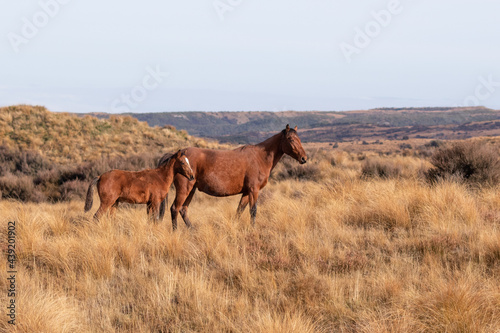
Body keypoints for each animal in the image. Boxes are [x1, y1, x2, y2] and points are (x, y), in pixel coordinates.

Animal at [160, 123, 306, 230]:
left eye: (299, 139)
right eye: (291, 139)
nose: (304, 158)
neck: (260, 157)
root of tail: (175, 156)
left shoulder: (246, 192)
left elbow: (239, 211)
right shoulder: (254, 190)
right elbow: (253, 211)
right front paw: (253, 230)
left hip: (191, 190)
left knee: (183, 210)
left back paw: (193, 230)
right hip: (184, 190)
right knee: (175, 209)